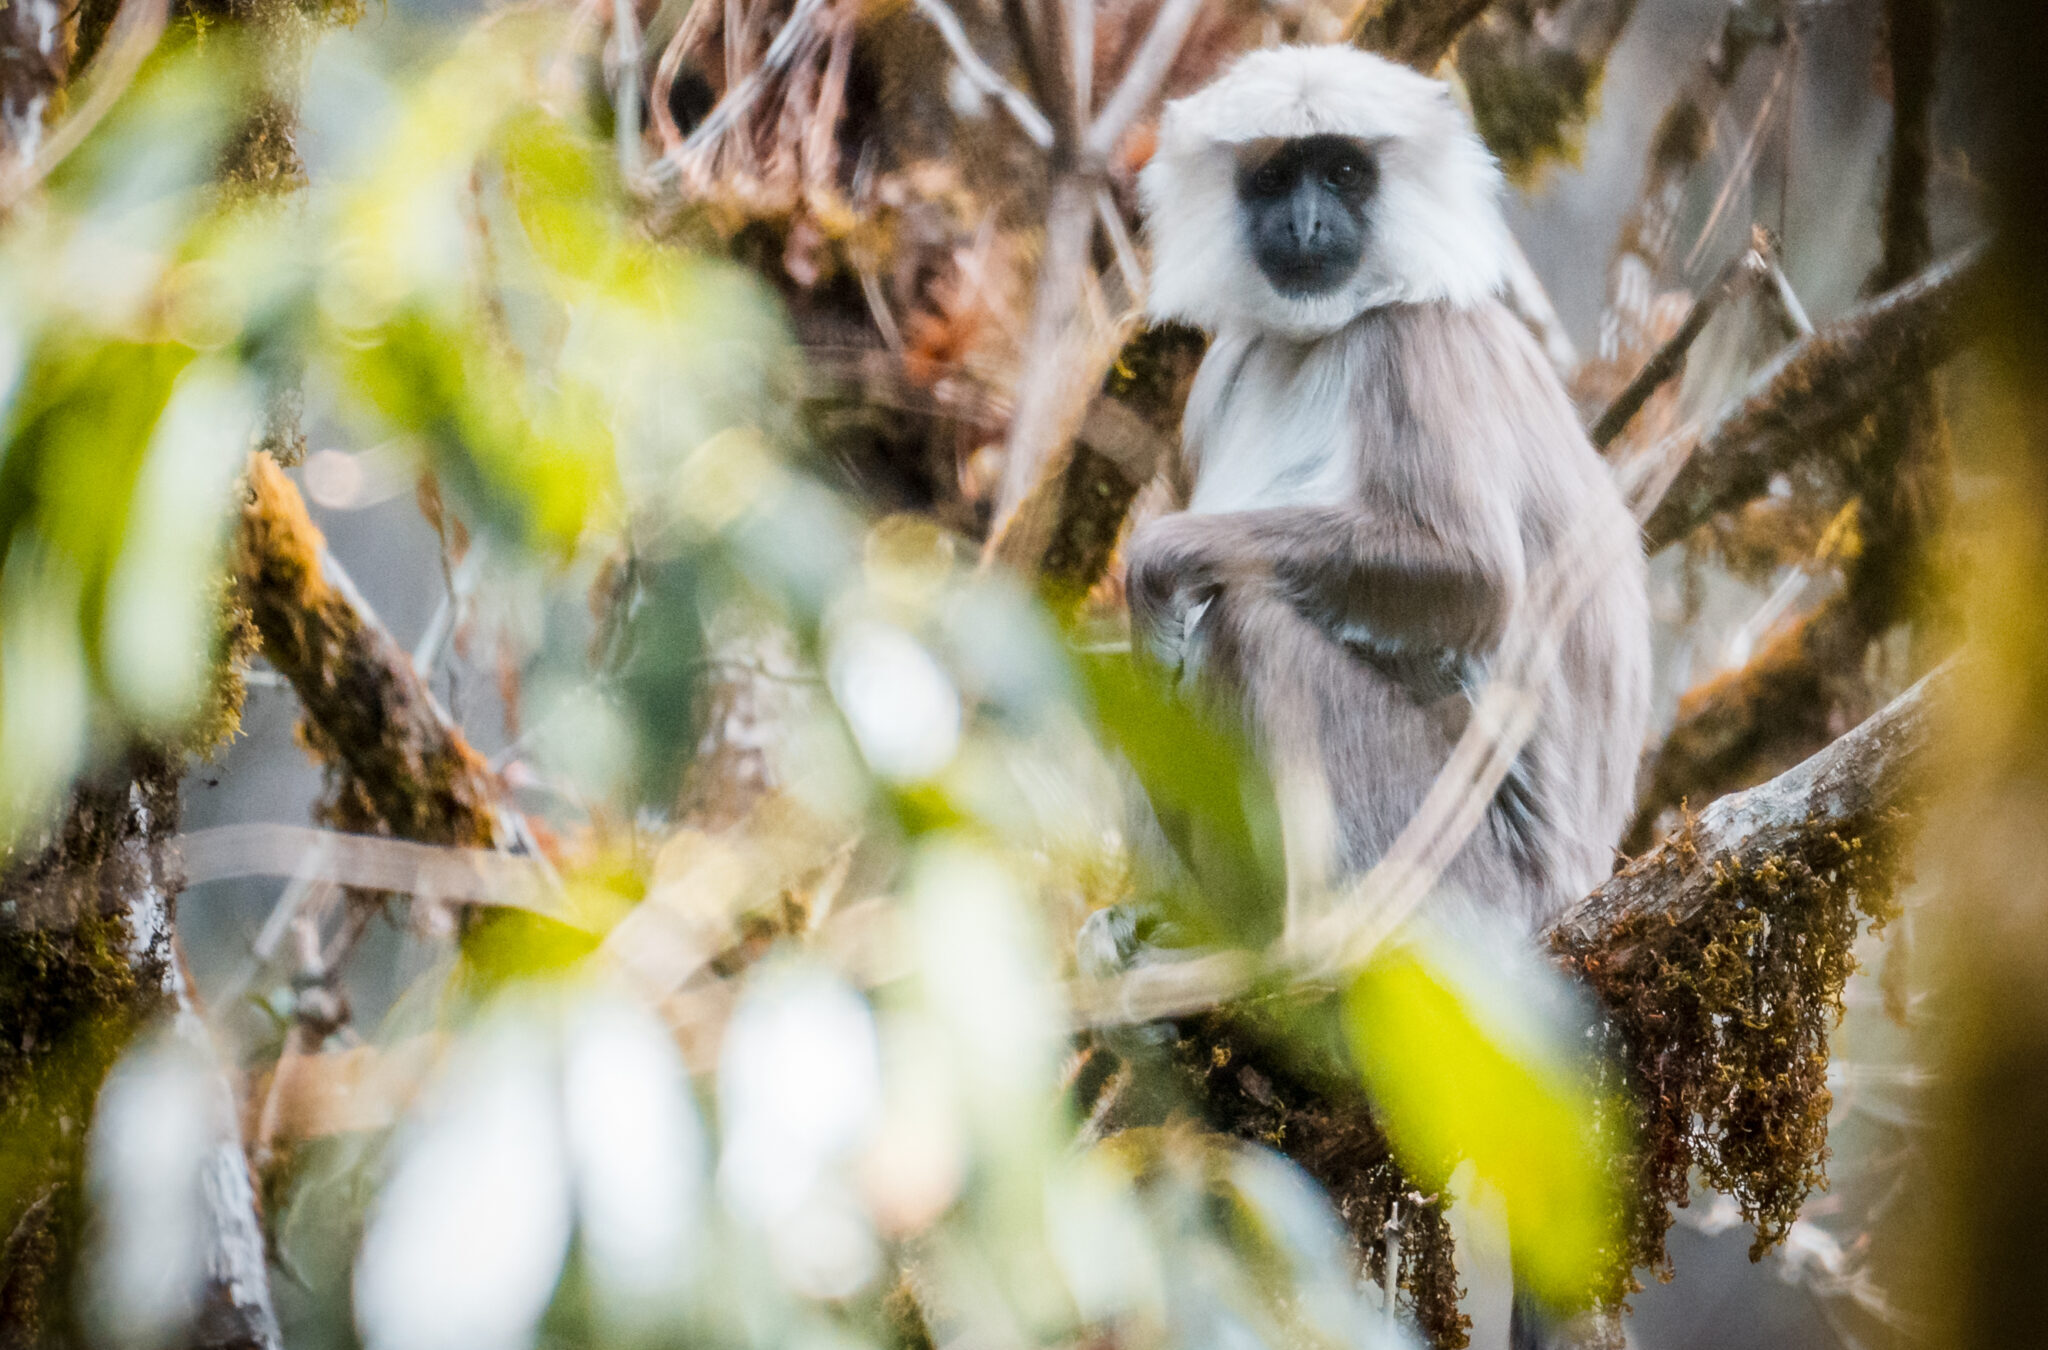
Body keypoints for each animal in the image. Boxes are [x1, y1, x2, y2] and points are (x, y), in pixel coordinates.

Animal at [1114, 50, 1654, 938]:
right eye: (1274, 176)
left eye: (1342, 173)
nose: (1305, 226)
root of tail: (1573, 890)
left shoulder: (1415, 337)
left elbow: (1472, 574)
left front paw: (1153, 565)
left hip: (1452, 872)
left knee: (1249, 621)